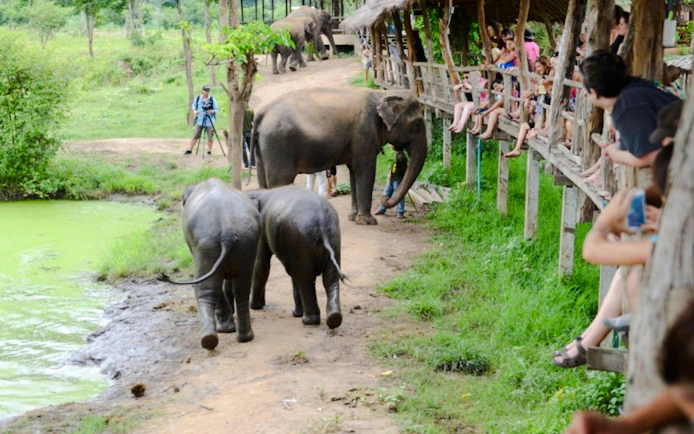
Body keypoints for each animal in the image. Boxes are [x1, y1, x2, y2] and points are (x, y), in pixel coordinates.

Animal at [156, 178, 261, 350]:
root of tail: (227, 229)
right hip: (247, 241)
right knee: (242, 288)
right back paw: (245, 337)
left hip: (207, 243)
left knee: (206, 289)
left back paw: (210, 338)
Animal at [245, 185, 344, 329]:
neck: (257, 192)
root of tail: (322, 222)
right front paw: (295, 314)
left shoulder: (261, 229)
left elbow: (261, 265)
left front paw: (254, 307)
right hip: (333, 236)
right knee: (330, 278)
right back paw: (334, 319)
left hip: (301, 238)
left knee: (305, 280)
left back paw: (308, 321)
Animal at [248, 88, 428, 225]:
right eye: (417, 124)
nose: (384, 199)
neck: (382, 93)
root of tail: (261, 113)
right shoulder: (364, 134)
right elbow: (366, 170)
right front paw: (369, 222)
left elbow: (354, 172)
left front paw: (353, 218)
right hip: (278, 145)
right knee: (280, 181)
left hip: (264, 148)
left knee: (263, 182)